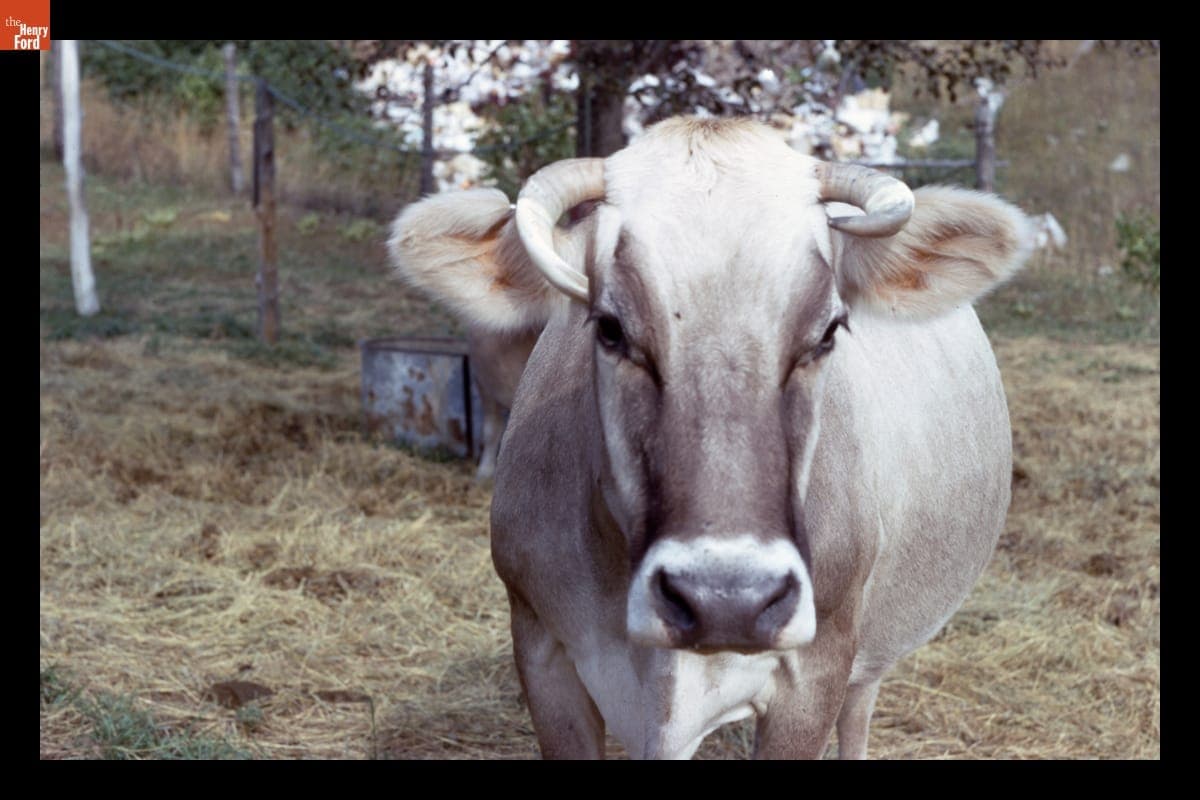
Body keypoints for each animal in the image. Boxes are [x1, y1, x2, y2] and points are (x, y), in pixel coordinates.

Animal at [389, 116, 1033, 759]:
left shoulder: (815, 673)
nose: (728, 599)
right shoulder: (541, 651)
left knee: (859, 710)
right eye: (610, 328)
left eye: (829, 330)